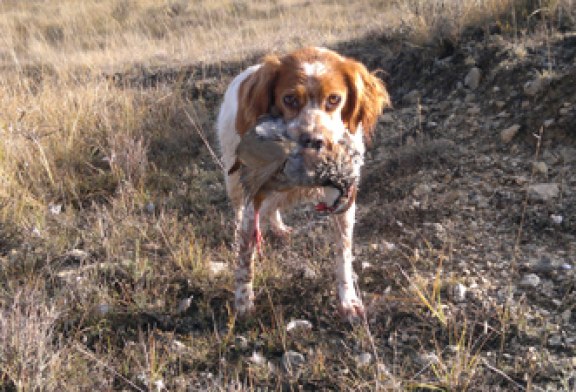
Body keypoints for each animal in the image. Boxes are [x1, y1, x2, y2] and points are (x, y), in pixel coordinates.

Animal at [217, 47, 392, 320]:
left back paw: (278, 227)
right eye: (289, 99)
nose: (314, 140)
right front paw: (243, 301)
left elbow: (343, 252)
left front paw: (348, 300)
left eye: (334, 99)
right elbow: (245, 254)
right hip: (234, 180)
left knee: (272, 208)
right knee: (240, 214)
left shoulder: (341, 199)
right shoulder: (254, 193)